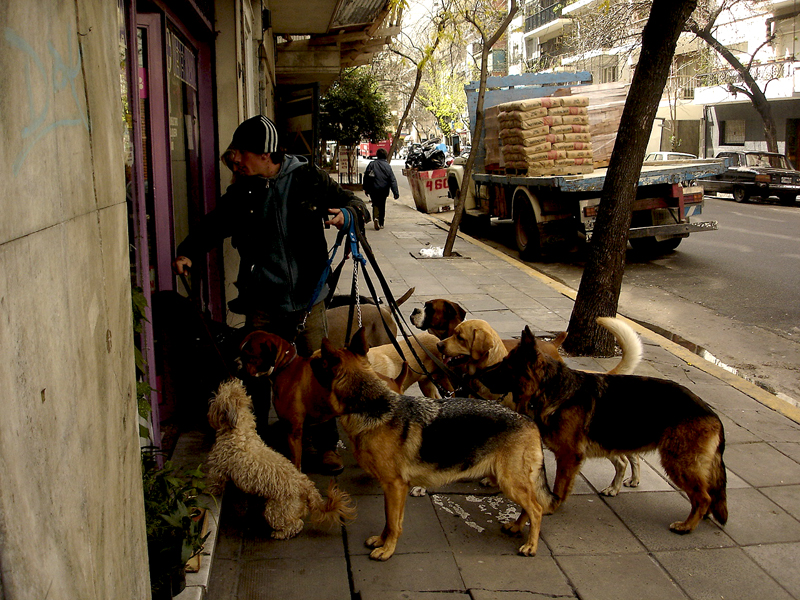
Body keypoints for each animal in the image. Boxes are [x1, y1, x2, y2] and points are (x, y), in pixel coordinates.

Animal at [205, 380, 354, 540]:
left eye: (217, 400)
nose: (208, 410)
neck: (240, 430)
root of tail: (305, 484)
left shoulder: (217, 468)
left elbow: (215, 481)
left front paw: (209, 491)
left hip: (276, 511)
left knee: (296, 525)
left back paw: (279, 534)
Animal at [308, 328, 556, 556]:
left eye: (319, 360)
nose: (308, 357)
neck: (372, 404)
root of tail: (528, 420)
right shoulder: (391, 489)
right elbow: (389, 520)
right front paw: (381, 541)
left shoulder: (395, 487)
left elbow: (394, 523)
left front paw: (387, 549)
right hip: (512, 481)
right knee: (531, 506)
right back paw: (516, 526)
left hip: (510, 481)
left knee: (536, 509)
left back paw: (531, 545)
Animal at [478, 324, 728, 536]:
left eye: (506, 365)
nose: (477, 375)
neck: (551, 388)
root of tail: (712, 414)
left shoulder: (569, 455)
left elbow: (558, 485)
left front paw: (551, 506)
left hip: (678, 462)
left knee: (704, 496)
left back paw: (688, 525)